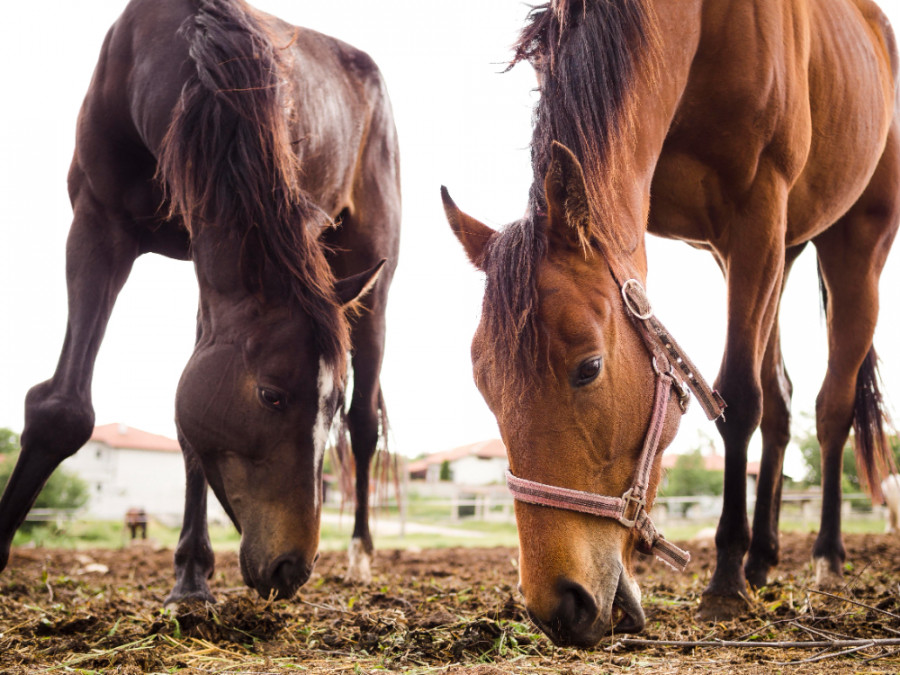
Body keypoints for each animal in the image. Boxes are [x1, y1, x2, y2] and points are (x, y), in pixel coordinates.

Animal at [0, 0, 400, 604]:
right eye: (271, 396)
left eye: (325, 407)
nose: (292, 568)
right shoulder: (98, 226)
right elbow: (64, 411)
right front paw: (191, 575)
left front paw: (192, 576)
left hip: (373, 286)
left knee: (365, 426)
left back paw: (360, 556)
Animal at [442, 0, 900, 648]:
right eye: (483, 386)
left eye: (589, 368)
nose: (558, 608)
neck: (701, 27)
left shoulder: (757, 212)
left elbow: (736, 399)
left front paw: (725, 583)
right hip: (775, 253)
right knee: (783, 403)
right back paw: (763, 559)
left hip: (853, 248)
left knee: (831, 409)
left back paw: (824, 556)